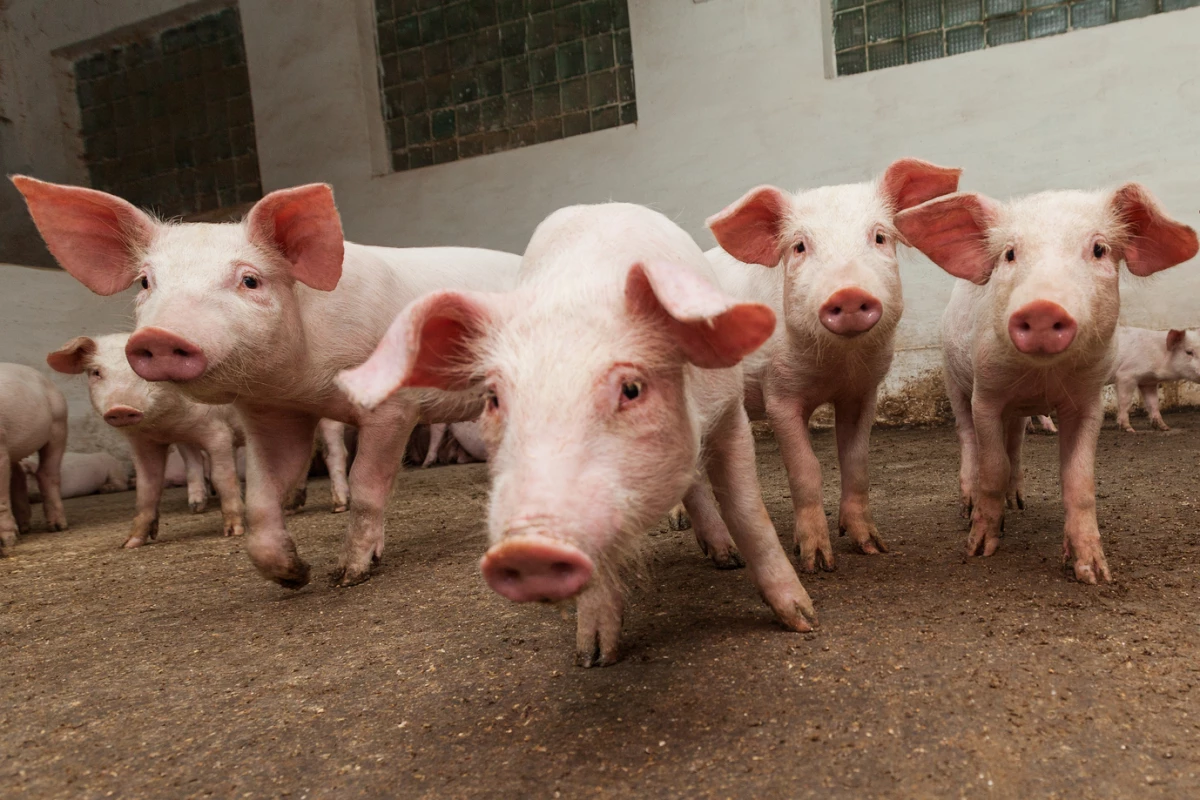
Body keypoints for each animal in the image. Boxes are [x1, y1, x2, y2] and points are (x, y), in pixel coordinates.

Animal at [0, 363, 68, 552]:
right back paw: (24, 528)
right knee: (18, 474)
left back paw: (58, 527)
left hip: (59, 424)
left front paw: (6, 542)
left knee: (47, 473)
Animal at [47, 333, 245, 547]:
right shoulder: (145, 443)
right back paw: (196, 507)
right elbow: (146, 488)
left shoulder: (219, 432)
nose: (121, 409)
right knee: (193, 462)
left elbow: (222, 476)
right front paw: (130, 543)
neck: (164, 426)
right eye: (96, 372)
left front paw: (234, 532)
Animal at [337, 202, 817, 667]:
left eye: (631, 388)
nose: (526, 547)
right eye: (493, 397)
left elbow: (747, 512)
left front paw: (803, 619)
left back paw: (724, 558)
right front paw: (593, 657)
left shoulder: (730, 411)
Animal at [693, 159, 961, 571]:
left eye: (879, 237)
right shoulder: (778, 393)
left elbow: (856, 460)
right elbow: (805, 468)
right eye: (800, 246)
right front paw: (817, 562)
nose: (848, 294)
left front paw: (872, 547)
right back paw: (727, 557)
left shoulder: (863, 391)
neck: (837, 366)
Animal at [895, 185, 1198, 583]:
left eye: (1099, 249)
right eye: (1009, 253)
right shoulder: (986, 394)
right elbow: (992, 467)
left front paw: (1094, 574)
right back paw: (968, 508)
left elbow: (1079, 480)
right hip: (951, 375)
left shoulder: (1088, 399)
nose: (1042, 308)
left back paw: (1018, 503)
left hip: (1018, 413)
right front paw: (979, 549)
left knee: (1015, 443)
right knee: (968, 440)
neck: (1042, 377)